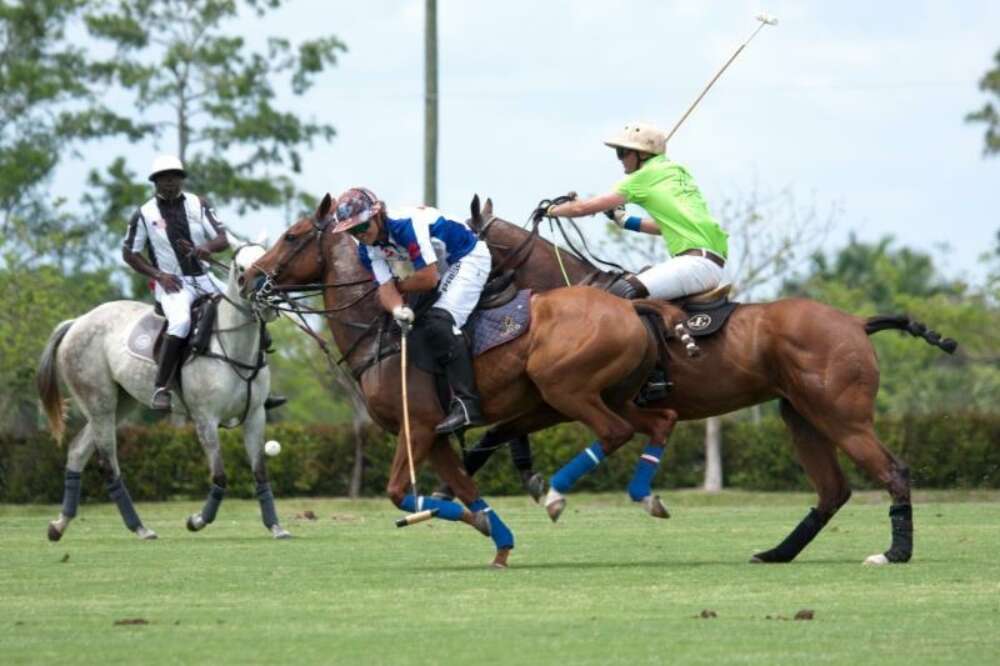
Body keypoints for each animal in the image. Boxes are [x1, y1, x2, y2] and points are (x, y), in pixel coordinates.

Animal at [37, 244, 292, 540]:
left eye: (269, 259)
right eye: (242, 268)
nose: (270, 300)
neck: (232, 345)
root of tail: (76, 322)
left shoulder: (255, 416)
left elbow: (260, 472)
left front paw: (276, 526)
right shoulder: (205, 419)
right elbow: (219, 475)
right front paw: (197, 520)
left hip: (120, 403)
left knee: (78, 450)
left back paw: (60, 525)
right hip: (98, 400)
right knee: (108, 463)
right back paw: (139, 527)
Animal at [242, 193, 680, 564]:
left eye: (291, 236)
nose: (248, 279)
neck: (380, 335)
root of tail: (631, 306)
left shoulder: (417, 426)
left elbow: (399, 493)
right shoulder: (432, 435)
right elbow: (466, 490)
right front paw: (496, 537)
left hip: (565, 390)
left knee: (614, 432)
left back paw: (557, 494)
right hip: (614, 394)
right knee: (661, 420)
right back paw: (646, 498)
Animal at [464, 195, 956, 564]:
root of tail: (857, 322)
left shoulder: (566, 399)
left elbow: (503, 431)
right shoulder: (556, 400)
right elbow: (498, 433)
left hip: (841, 415)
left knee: (892, 471)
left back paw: (893, 553)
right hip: (802, 416)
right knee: (833, 489)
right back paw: (777, 553)